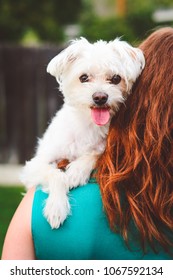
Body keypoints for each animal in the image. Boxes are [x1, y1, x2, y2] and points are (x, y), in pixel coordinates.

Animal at [19, 37, 145, 229]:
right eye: (83, 78)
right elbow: (55, 174)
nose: (100, 97)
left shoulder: (102, 146)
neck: (88, 125)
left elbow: (95, 153)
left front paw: (77, 171)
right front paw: (57, 207)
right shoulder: (34, 166)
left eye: (116, 79)